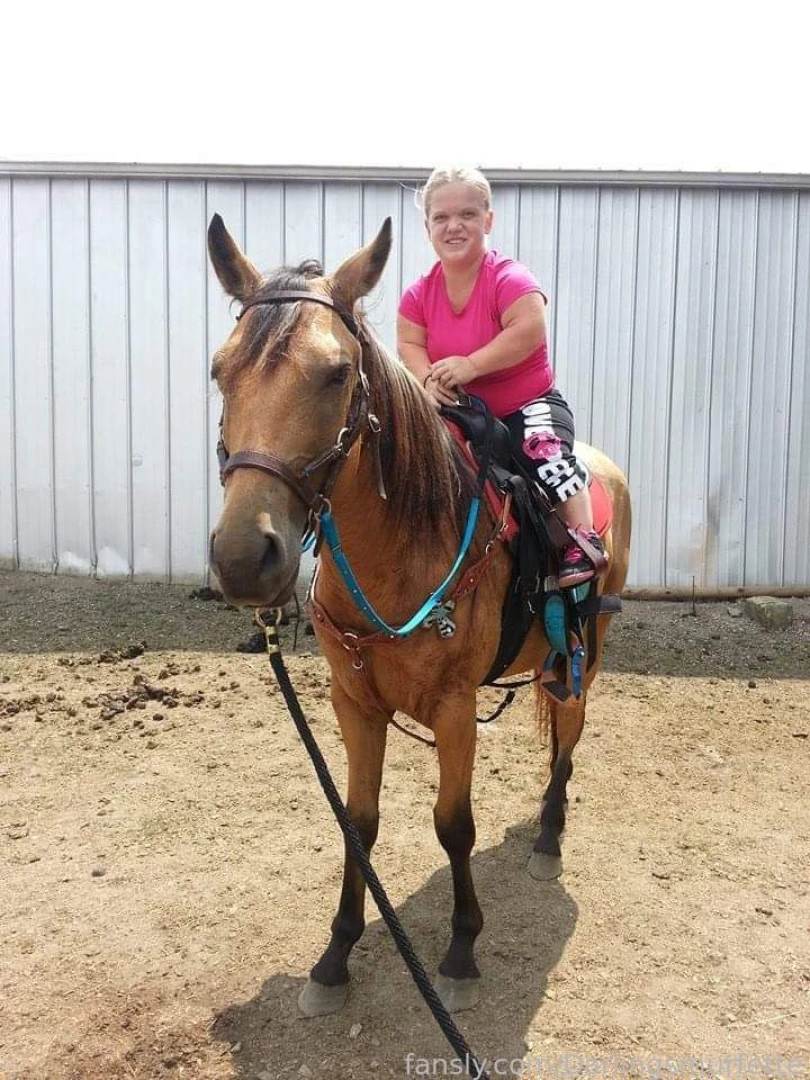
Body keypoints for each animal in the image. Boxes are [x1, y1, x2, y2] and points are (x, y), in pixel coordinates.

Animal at [206, 215, 632, 1016]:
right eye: (220, 370)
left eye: (337, 373)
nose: (245, 558)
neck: (400, 552)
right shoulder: (354, 703)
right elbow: (358, 821)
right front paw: (335, 955)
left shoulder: (456, 707)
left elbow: (453, 826)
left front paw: (461, 952)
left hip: (587, 649)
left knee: (570, 728)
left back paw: (549, 835)